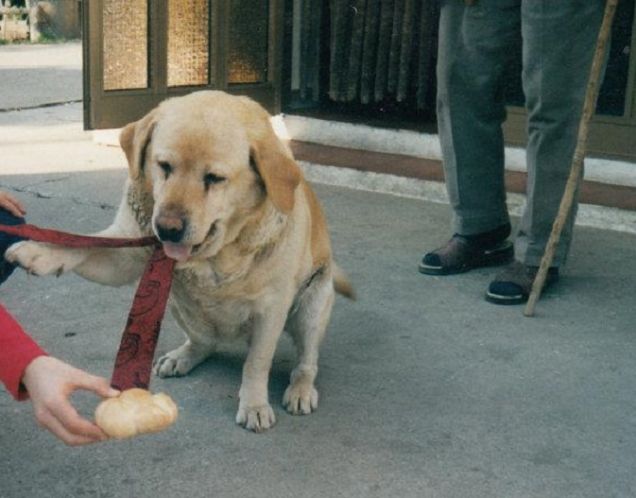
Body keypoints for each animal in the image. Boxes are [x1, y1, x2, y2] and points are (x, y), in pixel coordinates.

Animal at [7, 89, 352, 432]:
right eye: (164, 166)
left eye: (214, 178)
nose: (167, 229)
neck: (217, 255)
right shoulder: (126, 253)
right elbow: (82, 244)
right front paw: (39, 251)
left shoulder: (272, 309)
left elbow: (256, 363)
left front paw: (254, 404)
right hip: (176, 302)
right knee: (203, 343)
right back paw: (183, 356)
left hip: (311, 308)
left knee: (306, 363)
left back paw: (300, 390)